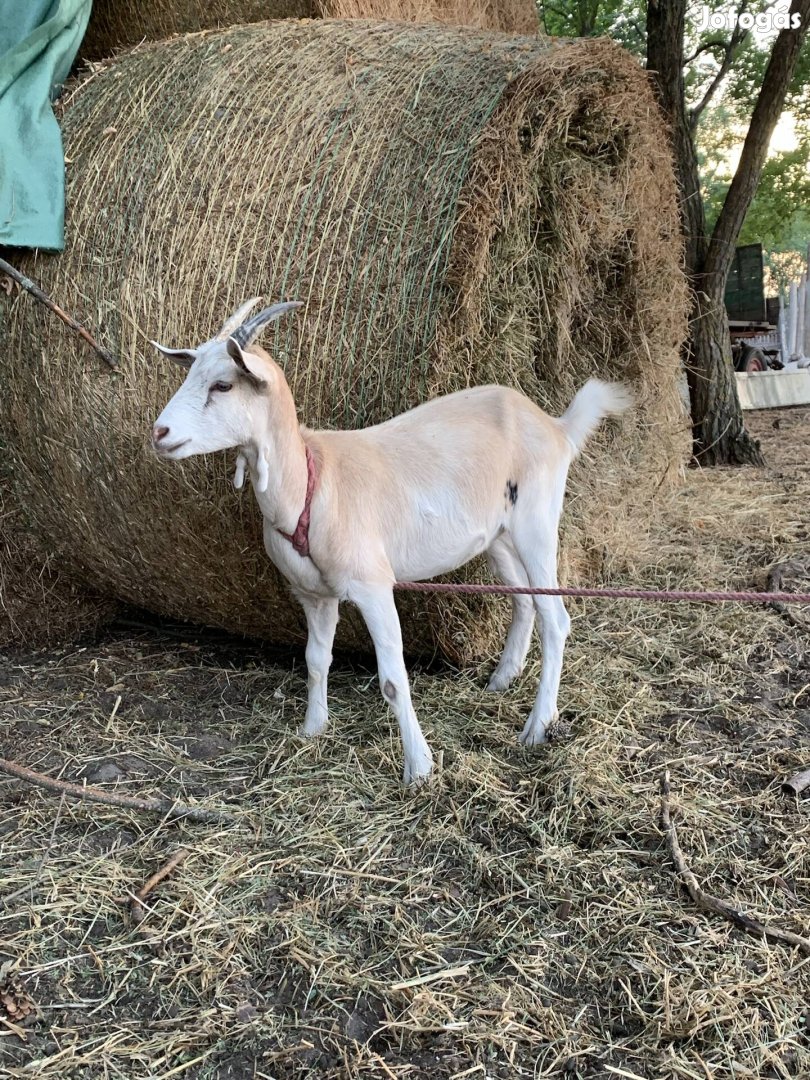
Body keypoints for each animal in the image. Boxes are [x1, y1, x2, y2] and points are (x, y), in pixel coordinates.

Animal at [153, 300, 635, 781]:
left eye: (223, 384)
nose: (159, 432)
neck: (311, 480)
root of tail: (555, 426)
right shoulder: (314, 594)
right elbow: (315, 660)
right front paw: (313, 729)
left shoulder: (372, 585)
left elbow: (392, 677)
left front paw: (418, 767)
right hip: (496, 535)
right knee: (524, 599)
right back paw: (501, 680)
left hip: (536, 519)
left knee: (556, 617)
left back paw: (537, 725)